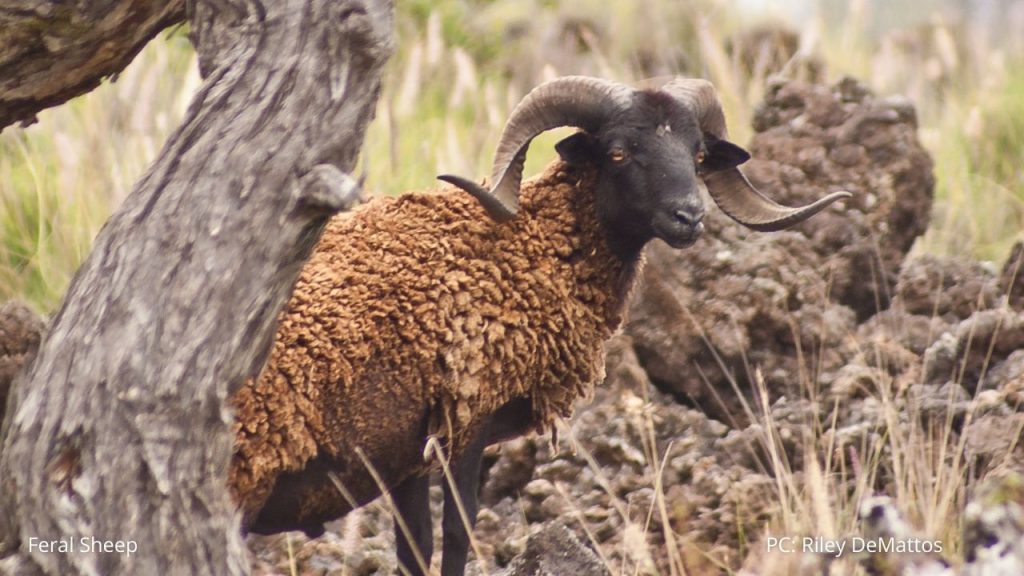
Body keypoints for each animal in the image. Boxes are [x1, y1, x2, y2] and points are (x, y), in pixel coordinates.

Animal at [229, 75, 849, 575]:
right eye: (618, 152)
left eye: (697, 154)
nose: (689, 217)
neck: (523, 246)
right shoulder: (466, 424)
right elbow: (456, 537)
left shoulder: (406, 457)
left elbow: (415, 548)